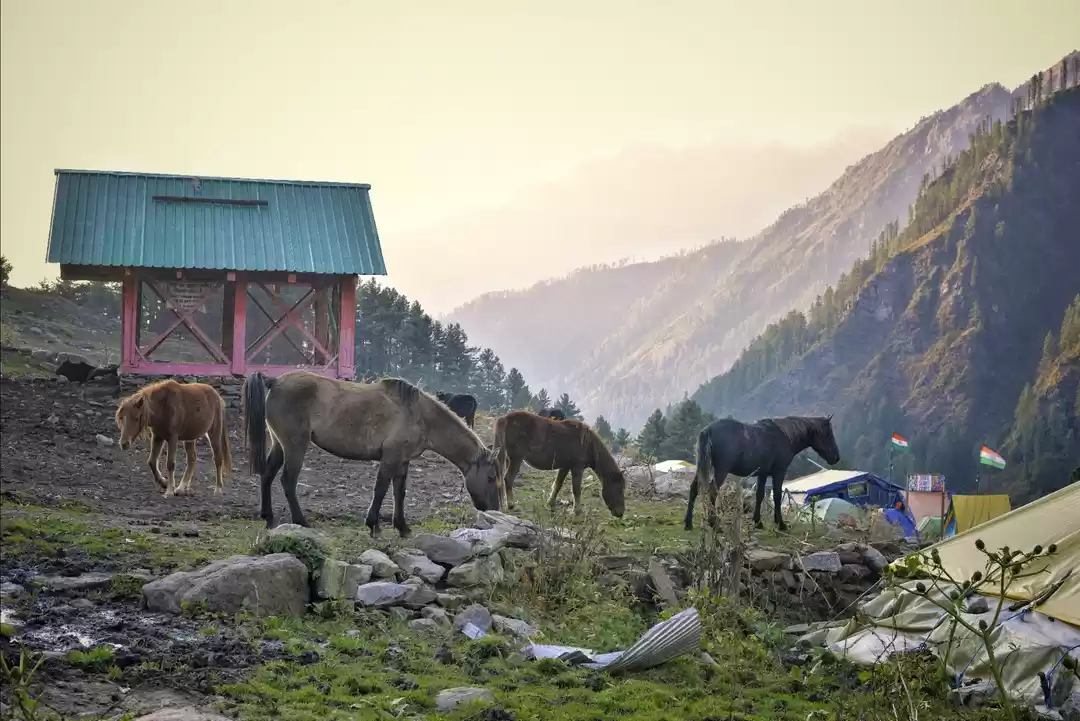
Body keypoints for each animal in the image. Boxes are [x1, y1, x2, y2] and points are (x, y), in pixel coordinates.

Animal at [244, 371, 503, 538]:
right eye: (491, 478)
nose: (494, 511)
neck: (419, 414)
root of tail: (274, 381)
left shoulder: (402, 462)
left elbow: (399, 494)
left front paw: (403, 527)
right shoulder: (390, 459)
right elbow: (380, 490)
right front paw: (373, 525)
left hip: (279, 445)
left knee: (267, 475)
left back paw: (268, 517)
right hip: (295, 446)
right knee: (288, 481)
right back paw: (301, 522)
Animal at [492, 410, 625, 518]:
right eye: (619, 489)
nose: (620, 513)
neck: (588, 444)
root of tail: (505, 418)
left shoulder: (564, 467)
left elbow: (557, 485)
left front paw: (550, 503)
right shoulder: (577, 468)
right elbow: (576, 489)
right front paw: (577, 511)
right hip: (516, 459)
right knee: (508, 479)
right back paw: (511, 505)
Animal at [684, 415, 840, 532]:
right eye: (829, 434)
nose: (836, 457)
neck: (784, 435)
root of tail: (708, 430)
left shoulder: (763, 474)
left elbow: (759, 495)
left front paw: (758, 522)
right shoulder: (779, 472)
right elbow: (777, 496)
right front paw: (781, 524)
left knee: (694, 489)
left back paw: (688, 523)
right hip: (721, 470)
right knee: (712, 492)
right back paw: (714, 524)